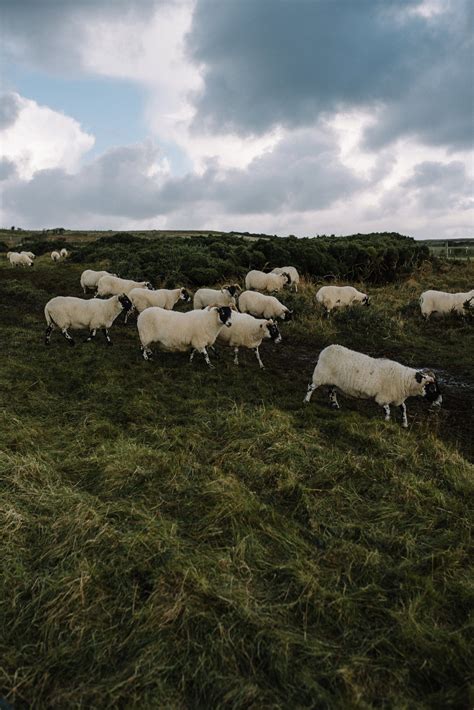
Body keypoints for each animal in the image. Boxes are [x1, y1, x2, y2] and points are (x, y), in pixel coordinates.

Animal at [304, 344, 440, 428]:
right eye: (432, 388)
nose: (439, 403)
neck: (404, 380)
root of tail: (327, 349)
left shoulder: (397, 398)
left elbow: (404, 408)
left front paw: (405, 424)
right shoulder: (383, 397)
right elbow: (387, 409)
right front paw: (386, 421)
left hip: (333, 381)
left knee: (331, 392)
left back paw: (335, 406)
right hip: (320, 375)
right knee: (311, 386)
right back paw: (306, 401)